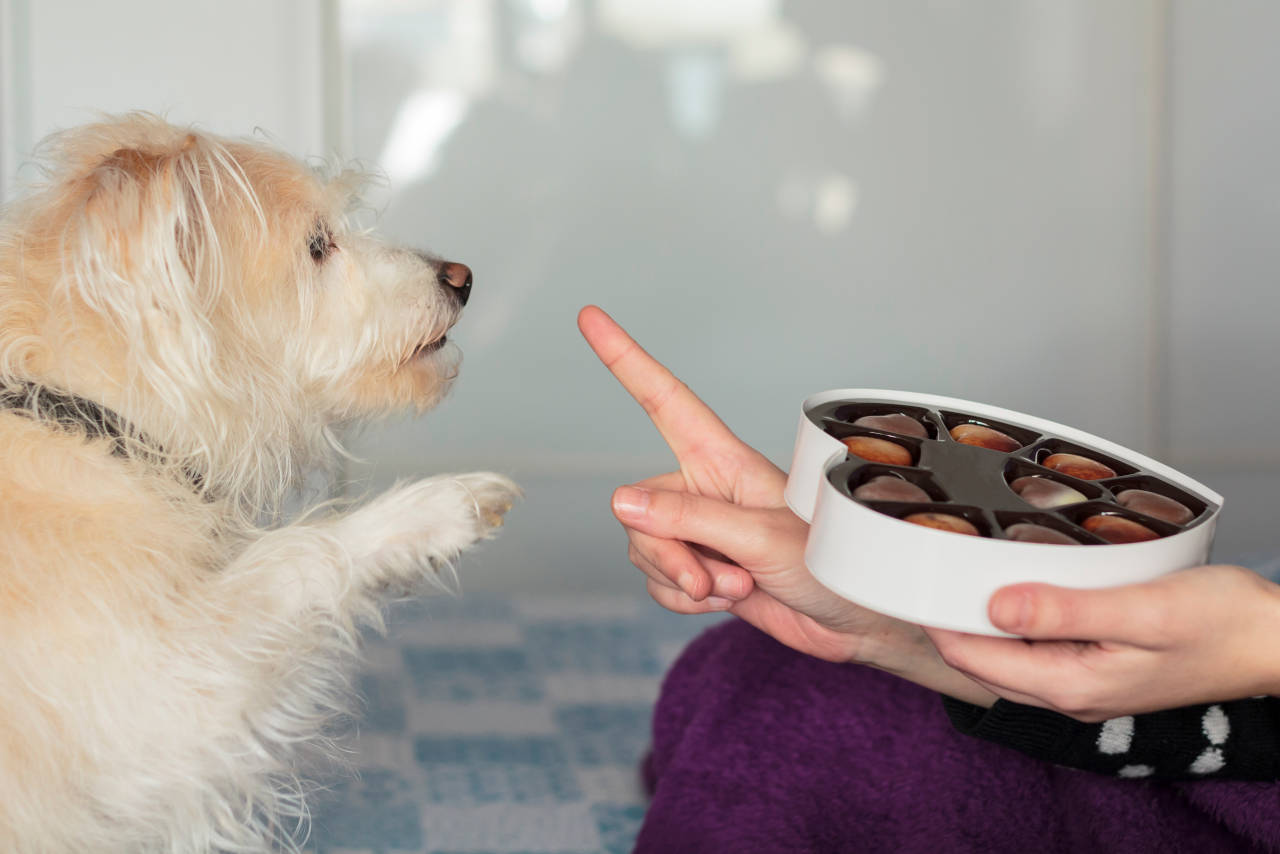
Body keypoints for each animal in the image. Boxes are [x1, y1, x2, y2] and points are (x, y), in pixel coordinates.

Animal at [1, 115, 519, 854]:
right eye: (318, 246)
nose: (462, 276)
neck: (90, 418)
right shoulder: (159, 699)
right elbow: (293, 556)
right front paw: (434, 510)